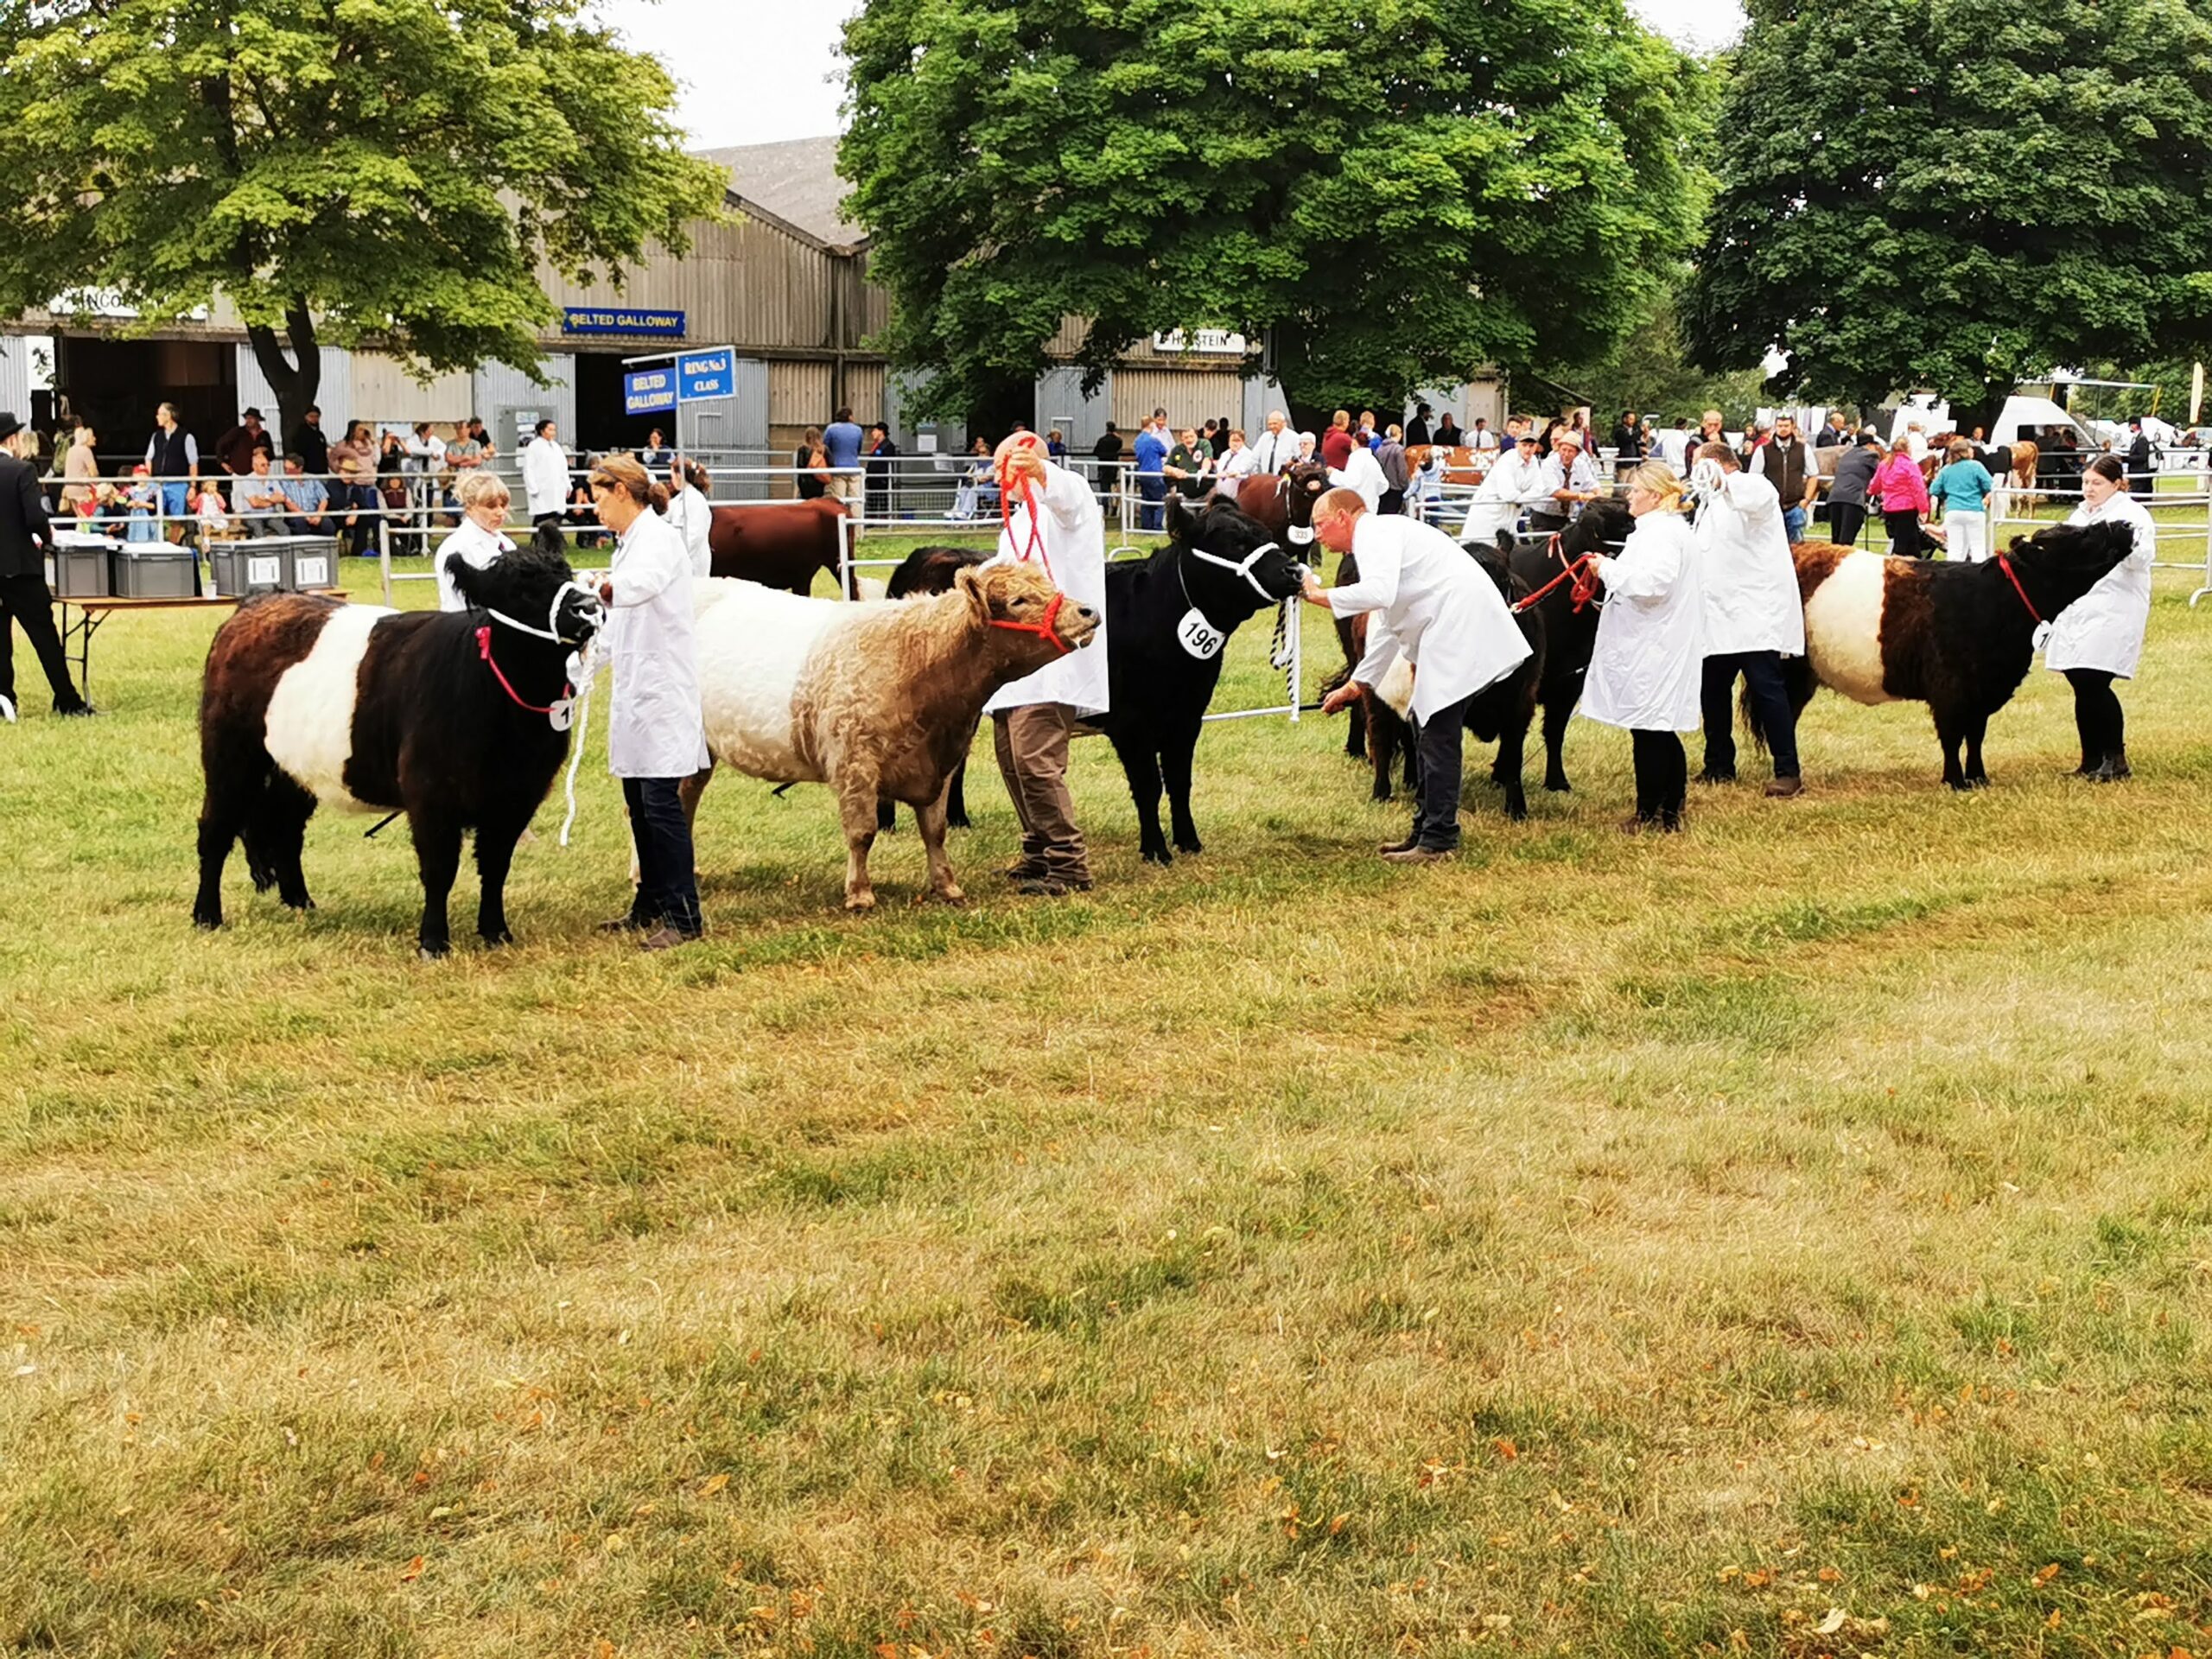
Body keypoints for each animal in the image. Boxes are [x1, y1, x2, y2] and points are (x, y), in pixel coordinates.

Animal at [190, 526, 601, 955]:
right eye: (521, 590)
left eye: (566, 572)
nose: (588, 606)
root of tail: (257, 603)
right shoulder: (431, 793)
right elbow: (439, 869)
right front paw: (433, 942)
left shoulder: (518, 796)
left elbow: (495, 867)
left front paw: (496, 933)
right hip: (230, 756)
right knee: (215, 829)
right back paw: (207, 915)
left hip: (293, 769)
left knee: (288, 830)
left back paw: (301, 902)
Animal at [1092, 498, 1300, 871]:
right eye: (1235, 543)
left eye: (1267, 534)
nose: (1294, 571)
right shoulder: (1130, 722)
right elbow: (1148, 785)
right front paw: (1155, 849)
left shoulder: (1188, 715)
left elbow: (1179, 780)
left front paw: (1189, 840)